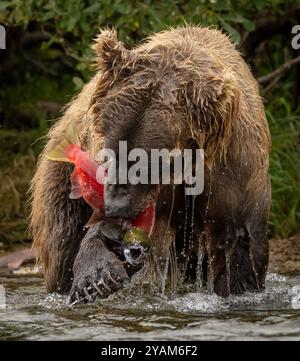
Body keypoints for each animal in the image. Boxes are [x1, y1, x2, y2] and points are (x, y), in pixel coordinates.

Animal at [29, 26, 270, 300]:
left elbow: (237, 249)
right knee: (63, 239)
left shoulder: (233, 177)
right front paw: (96, 279)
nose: (116, 207)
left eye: (147, 161)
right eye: (108, 153)